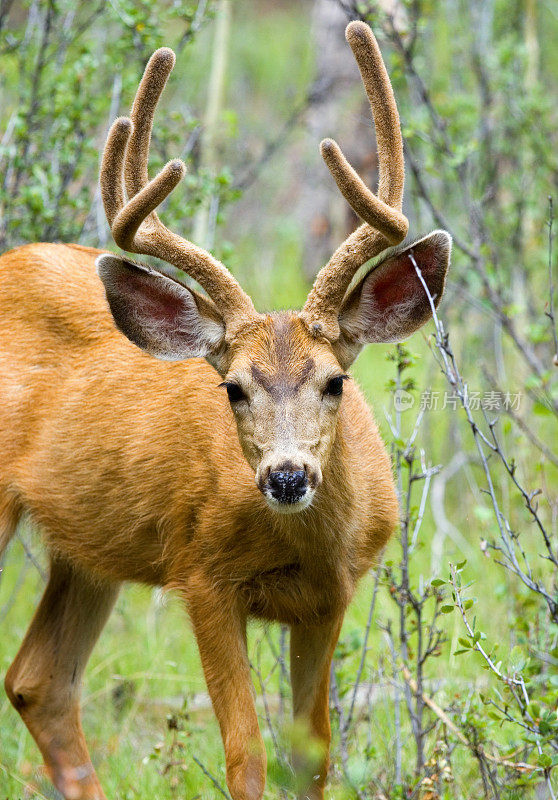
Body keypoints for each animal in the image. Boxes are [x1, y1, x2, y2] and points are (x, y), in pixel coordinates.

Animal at [0, 18, 452, 800]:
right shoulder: (202, 576)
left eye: (336, 381)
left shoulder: (331, 596)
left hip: (88, 547)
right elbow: (247, 755)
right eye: (233, 387)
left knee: (40, 682)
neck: (297, 546)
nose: (287, 476)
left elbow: (312, 753)